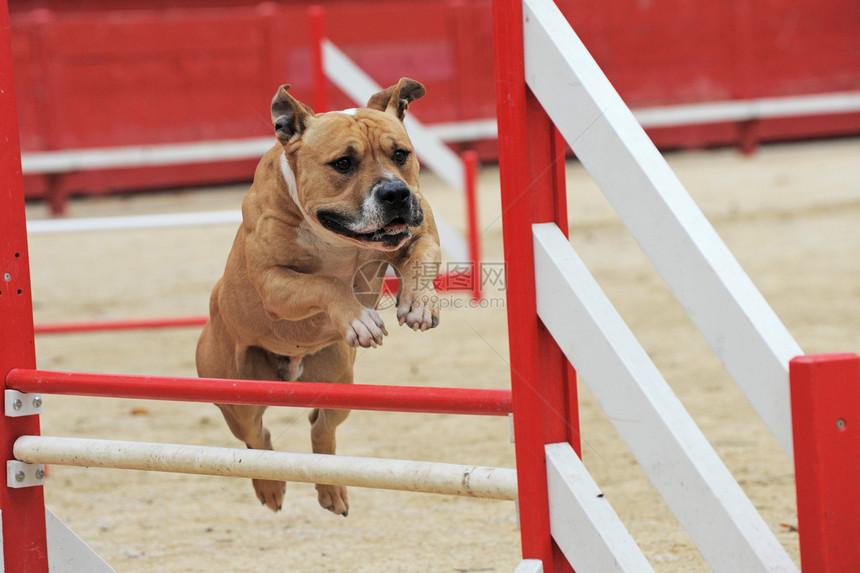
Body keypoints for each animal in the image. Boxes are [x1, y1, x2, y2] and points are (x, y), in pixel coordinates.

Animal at [197, 77, 440, 512]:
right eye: (343, 163)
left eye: (400, 154)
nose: (395, 193)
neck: (338, 237)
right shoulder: (275, 282)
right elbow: (327, 283)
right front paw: (358, 317)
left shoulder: (420, 230)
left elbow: (421, 257)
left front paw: (419, 303)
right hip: (236, 394)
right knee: (256, 437)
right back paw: (270, 486)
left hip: (340, 381)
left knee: (321, 428)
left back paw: (331, 489)